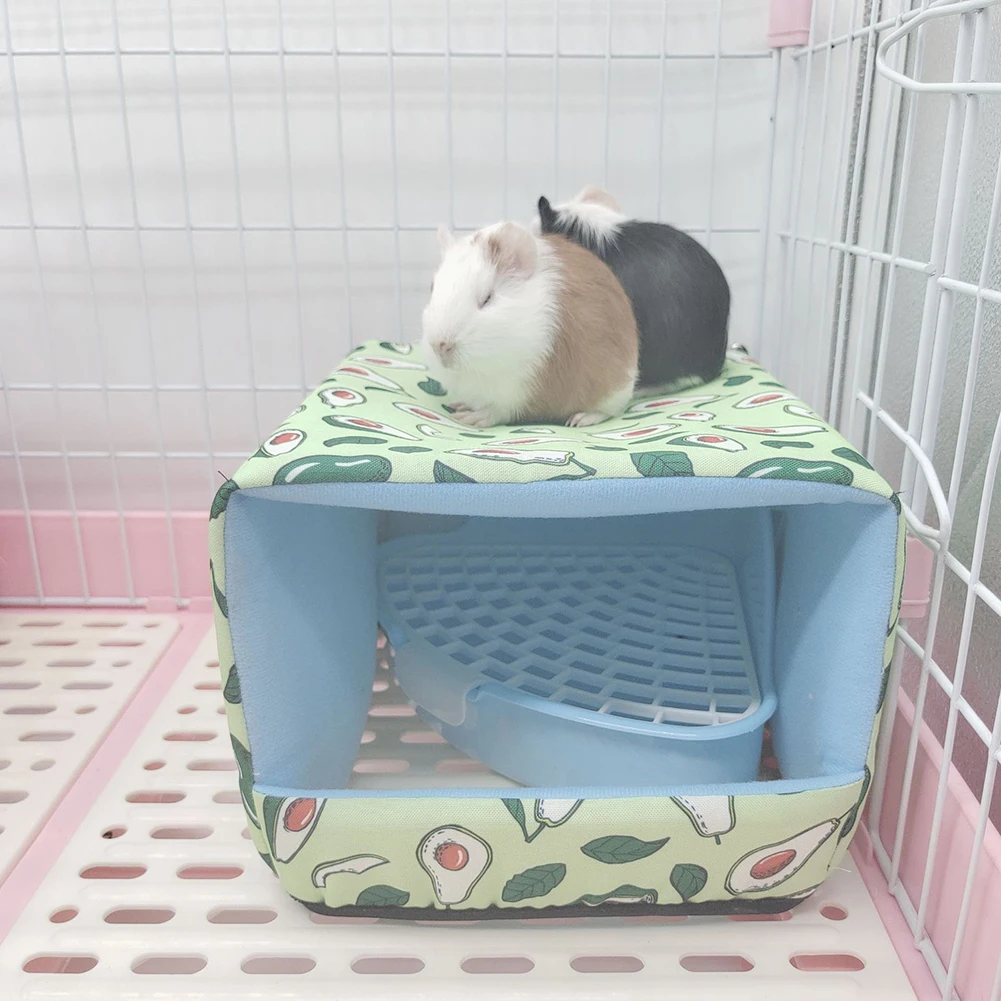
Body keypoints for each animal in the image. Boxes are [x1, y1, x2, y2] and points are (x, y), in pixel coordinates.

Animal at [421, 220, 638, 428]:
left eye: (487, 298)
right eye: (432, 289)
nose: (440, 346)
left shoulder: (512, 393)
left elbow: (495, 412)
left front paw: (470, 419)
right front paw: (459, 407)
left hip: (612, 395)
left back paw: (579, 420)